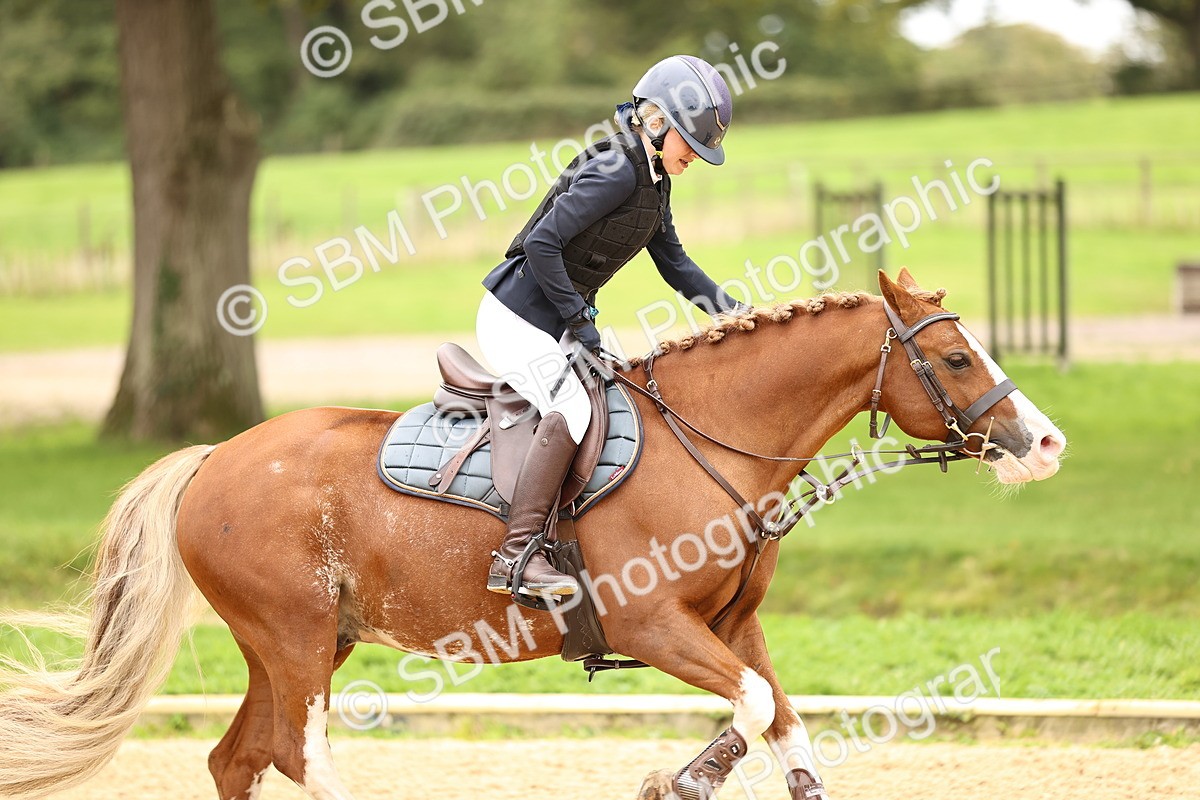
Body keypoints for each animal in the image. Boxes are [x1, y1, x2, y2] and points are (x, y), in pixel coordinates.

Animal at [0, 269, 1066, 800]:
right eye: (957, 358)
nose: (1046, 443)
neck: (712, 440)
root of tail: (216, 455)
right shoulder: (652, 627)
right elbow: (760, 710)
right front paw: (675, 782)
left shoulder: (734, 629)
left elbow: (781, 722)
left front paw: (687, 777)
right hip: (293, 638)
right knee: (301, 756)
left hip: (302, 641)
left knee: (239, 759)